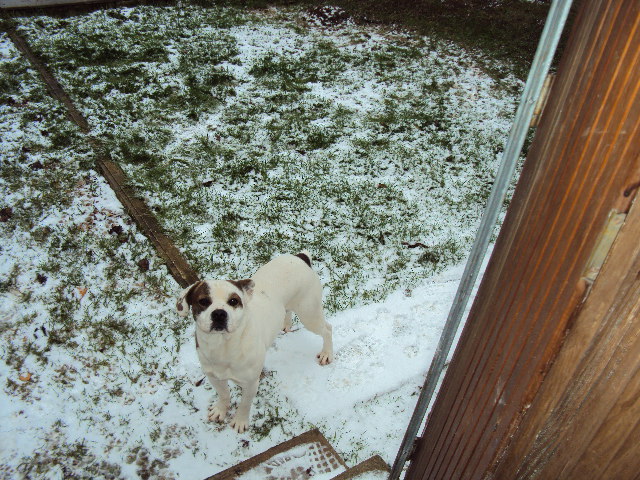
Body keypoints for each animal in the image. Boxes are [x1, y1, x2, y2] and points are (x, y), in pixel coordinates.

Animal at [176, 253, 332, 434]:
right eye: (203, 301)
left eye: (234, 301)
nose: (219, 314)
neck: (223, 346)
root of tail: (300, 257)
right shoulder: (214, 377)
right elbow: (224, 394)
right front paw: (221, 409)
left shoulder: (250, 383)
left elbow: (245, 404)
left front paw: (240, 421)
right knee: (287, 310)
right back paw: (285, 324)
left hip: (309, 313)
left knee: (327, 329)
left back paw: (327, 353)